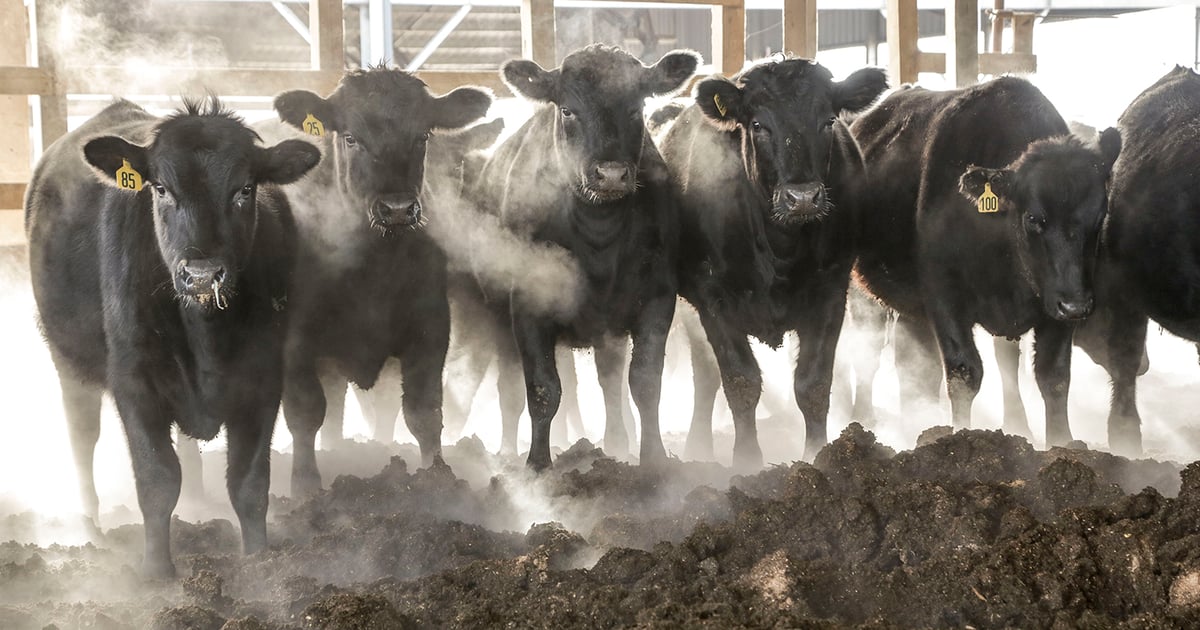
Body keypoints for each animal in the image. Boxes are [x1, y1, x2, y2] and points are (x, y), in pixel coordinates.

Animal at [25, 97, 320, 577]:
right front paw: (157, 571)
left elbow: (249, 481)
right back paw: (91, 528)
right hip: (69, 362)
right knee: (82, 439)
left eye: (245, 189)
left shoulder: (262, 376)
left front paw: (258, 561)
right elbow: (158, 480)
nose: (202, 274)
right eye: (161, 189)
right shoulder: (134, 382)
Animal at [268, 67, 492, 496]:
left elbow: (423, 411)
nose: (398, 208)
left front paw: (439, 477)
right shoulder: (294, 341)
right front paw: (305, 488)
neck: (374, 267)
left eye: (423, 135)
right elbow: (305, 412)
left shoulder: (430, 328)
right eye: (351, 137)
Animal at [471, 45, 700, 470]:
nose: (610, 174)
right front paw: (537, 465)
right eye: (567, 110)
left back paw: (616, 443)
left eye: (636, 107)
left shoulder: (657, 297)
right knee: (510, 386)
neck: (599, 233)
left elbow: (645, 382)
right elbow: (543, 388)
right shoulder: (527, 303)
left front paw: (654, 459)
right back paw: (507, 452)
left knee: (610, 379)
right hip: (496, 315)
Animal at [660, 57, 888, 468]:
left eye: (828, 120)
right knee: (706, 375)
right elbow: (741, 381)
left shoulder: (831, 293)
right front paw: (747, 462)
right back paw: (698, 447)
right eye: (757, 125)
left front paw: (818, 456)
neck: (779, 242)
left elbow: (813, 384)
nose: (803, 197)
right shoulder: (713, 299)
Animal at [851, 77, 1121, 443]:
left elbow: (1053, 376)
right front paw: (961, 438)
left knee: (917, 366)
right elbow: (965, 372)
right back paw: (862, 419)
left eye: (1100, 215)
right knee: (868, 350)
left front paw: (1061, 443)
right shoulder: (944, 297)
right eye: (1034, 218)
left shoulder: (1057, 305)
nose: (1077, 305)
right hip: (861, 295)